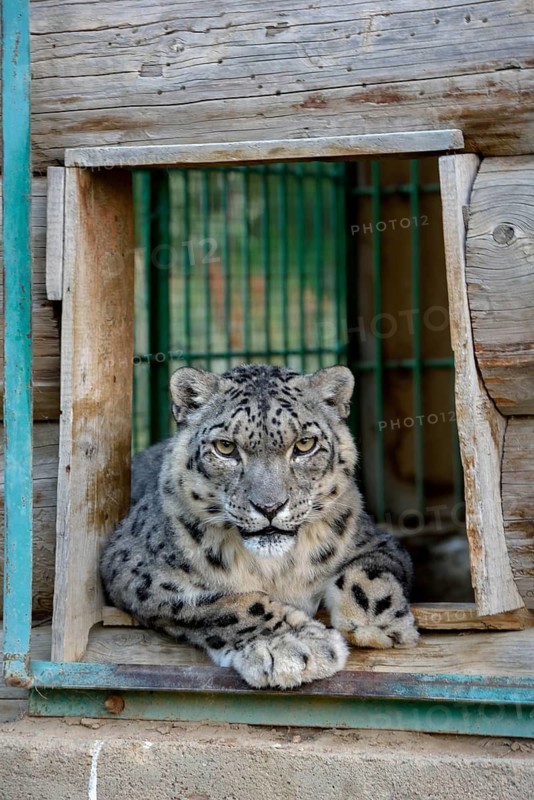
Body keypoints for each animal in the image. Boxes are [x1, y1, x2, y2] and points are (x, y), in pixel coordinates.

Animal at [101, 364, 419, 688]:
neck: (275, 569)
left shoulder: (375, 540)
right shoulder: (139, 570)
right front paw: (292, 647)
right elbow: (226, 605)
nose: (269, 507)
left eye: (305, 444)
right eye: (225, 447)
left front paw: (376, 623)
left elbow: (369, 573)